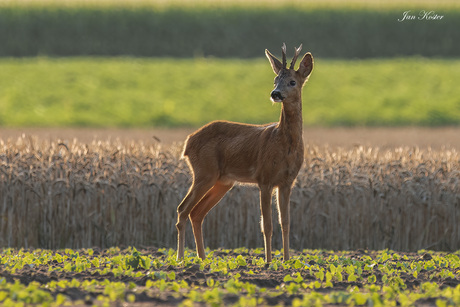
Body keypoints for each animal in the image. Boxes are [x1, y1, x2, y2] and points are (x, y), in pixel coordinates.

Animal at [176, 44, 312, 262]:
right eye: (275, 80)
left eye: (292, 81)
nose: (275, 94)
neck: (285, 144)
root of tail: (188, 143)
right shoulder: (264, 179)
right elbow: (267, 225)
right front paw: (268, 261)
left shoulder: (287, 182)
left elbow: (286, 223)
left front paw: (286, 260)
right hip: (204, 172)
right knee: (183, 209)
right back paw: (180, 258)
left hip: (223, 181)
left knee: (196, 213)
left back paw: (203, 259)